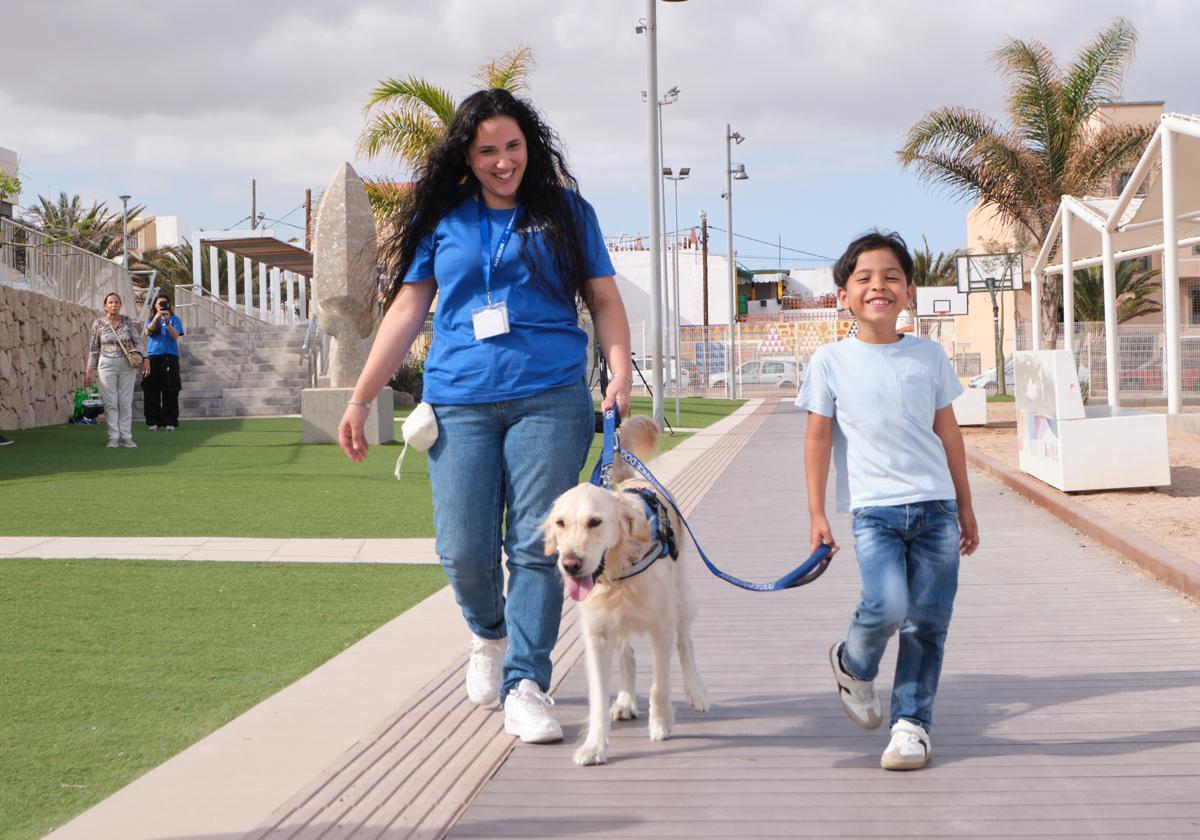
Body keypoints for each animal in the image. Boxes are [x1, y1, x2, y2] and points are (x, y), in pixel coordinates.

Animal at [542, 417, 700, 763]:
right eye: (560, 523)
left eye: (595, 522)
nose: (570, 564)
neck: (620, 572)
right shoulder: (597, 633)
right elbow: (598, 697)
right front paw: (594, 746)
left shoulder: (662, 625)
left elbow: (659, 684)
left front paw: (661, 724)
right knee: (628, 656)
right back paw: (626, 702)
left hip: (682, 598)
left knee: (686, 644)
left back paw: (698, 692)